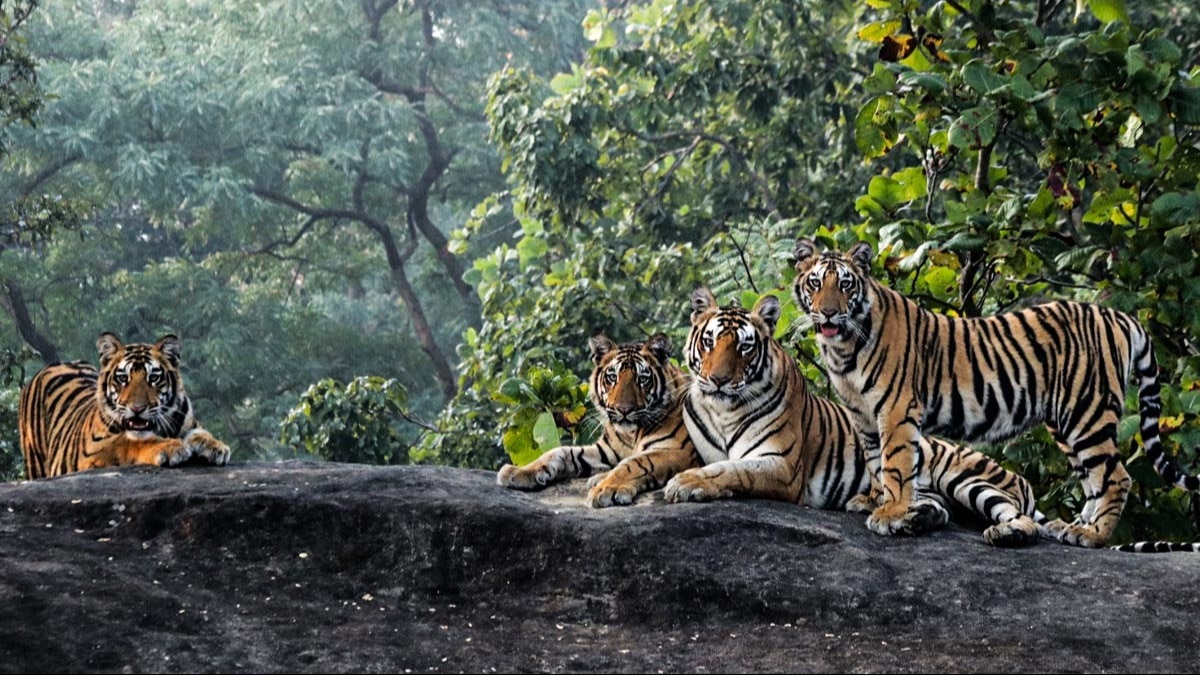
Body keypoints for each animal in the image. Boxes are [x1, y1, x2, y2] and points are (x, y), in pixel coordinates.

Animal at [18, 333, 231, 480]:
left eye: (153, 378)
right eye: (123, 378)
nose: (137, 408)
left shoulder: (191, 423)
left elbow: (202, 433)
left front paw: (215, 447)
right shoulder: (92, 449)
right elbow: (128, 441)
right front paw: (170, 447)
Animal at [497, 333, 700, 508]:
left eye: (642, 379)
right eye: (612, 377)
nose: (623, 410)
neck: (631, 434)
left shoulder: (677, 451)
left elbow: (633, 464)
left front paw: (605, 490)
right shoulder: (606, 451)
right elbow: (559, 452)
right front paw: (519, 471)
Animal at [666, 287, 1041, 546]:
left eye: (744, 346)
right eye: (709, 341)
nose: (718, 380)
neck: (724, 410)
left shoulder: (782, 465)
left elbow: (731, 470)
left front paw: (686, 483)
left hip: (966, 478)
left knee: (1021, 516)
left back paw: (1006, 533)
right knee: (933, 507)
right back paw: (904, 515)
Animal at [792, 238, 1200, 548]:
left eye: (846, 285)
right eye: (815, 284)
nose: (828, 314)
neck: (843, 348)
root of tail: (1118, 315)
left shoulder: (896, 407)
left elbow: (895, 463)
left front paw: (892, 512)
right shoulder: (861, 413)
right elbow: (876, 461)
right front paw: (876, 501)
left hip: (1087, 412)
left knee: (1115, 477)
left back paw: (1091, 535)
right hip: (1067, 424)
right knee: (1092, 480)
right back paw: (1069, 527)